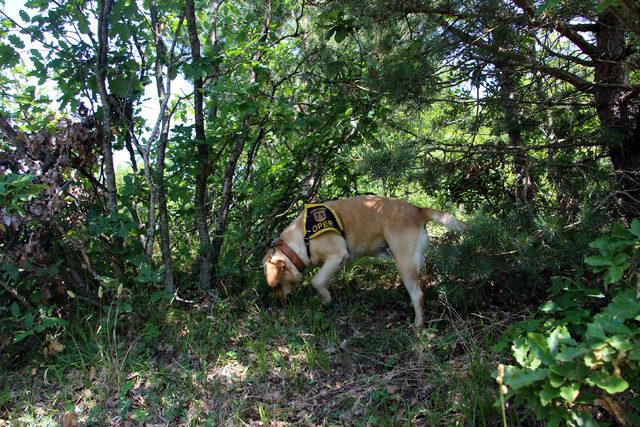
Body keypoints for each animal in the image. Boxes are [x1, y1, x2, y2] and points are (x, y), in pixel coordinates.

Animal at [262, 196, 468, 330]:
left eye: (276, 286)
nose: (280, 303)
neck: (301, 240)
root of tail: (417, 210)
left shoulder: (338, 256)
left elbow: (317, 281)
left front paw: (326, 300)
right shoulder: (331, 264)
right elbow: (323, 280)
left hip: (404, 262)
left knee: (417, 294)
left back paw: (418, 324)